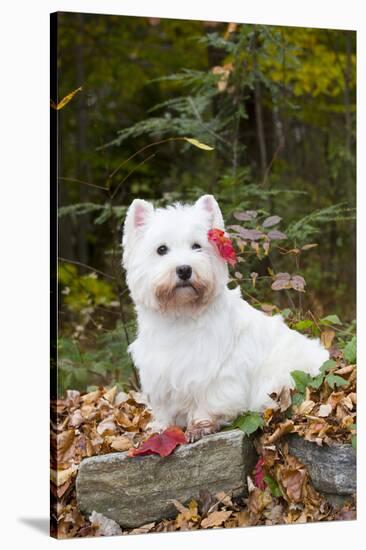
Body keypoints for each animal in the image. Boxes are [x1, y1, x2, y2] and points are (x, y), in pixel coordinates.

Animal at [121, 196, 328, 442]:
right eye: (161, 249)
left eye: (197, 246)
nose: (184, 269)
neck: (180, 314)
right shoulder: (159, 373)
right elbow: (164, 407)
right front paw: (161, 428)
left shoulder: (215, 372)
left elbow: (208, 399)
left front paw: (200, 426)